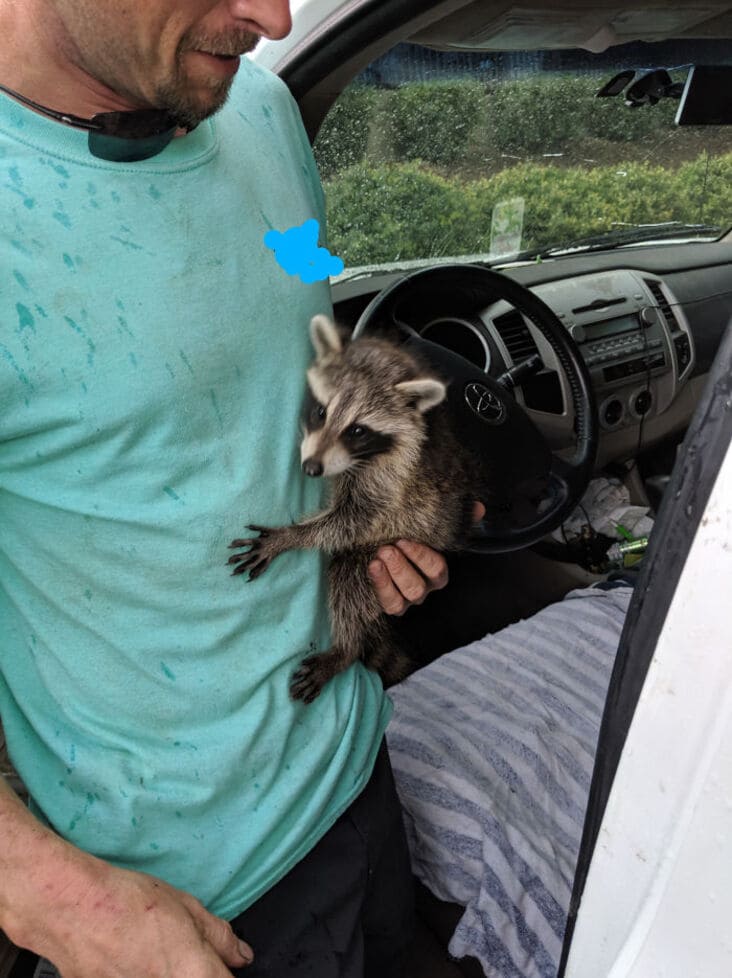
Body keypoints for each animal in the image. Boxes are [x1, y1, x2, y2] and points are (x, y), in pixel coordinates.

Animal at [226, 312, 484, 700]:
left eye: (358, 430)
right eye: (321, 411)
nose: (310, 468)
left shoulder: (391, 475)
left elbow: (352, 520)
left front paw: (291, 536)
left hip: (384, 547)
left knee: (347, 576)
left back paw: (346, 650)